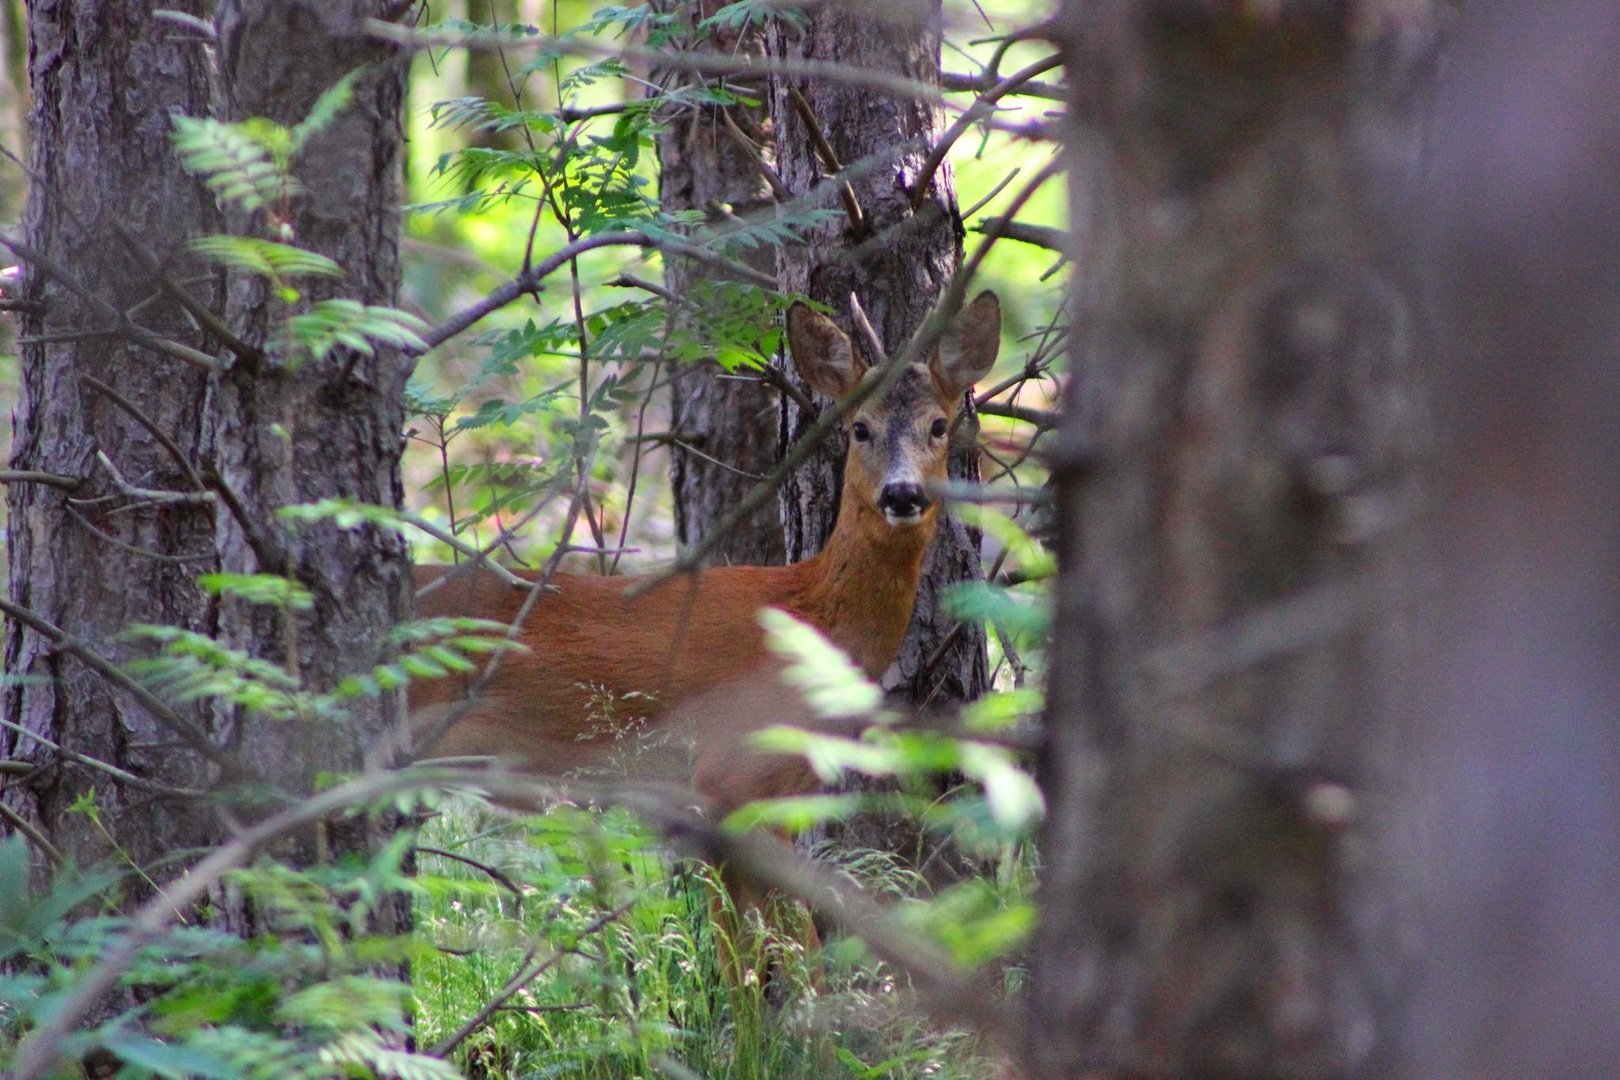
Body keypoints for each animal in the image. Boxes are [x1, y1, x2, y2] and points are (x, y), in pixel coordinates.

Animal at [405, 289, 997, 971]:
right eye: (859, 427)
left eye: (938, 425)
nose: (902, 494)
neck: (808, 614)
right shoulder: (724, 775)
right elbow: (767, 956)